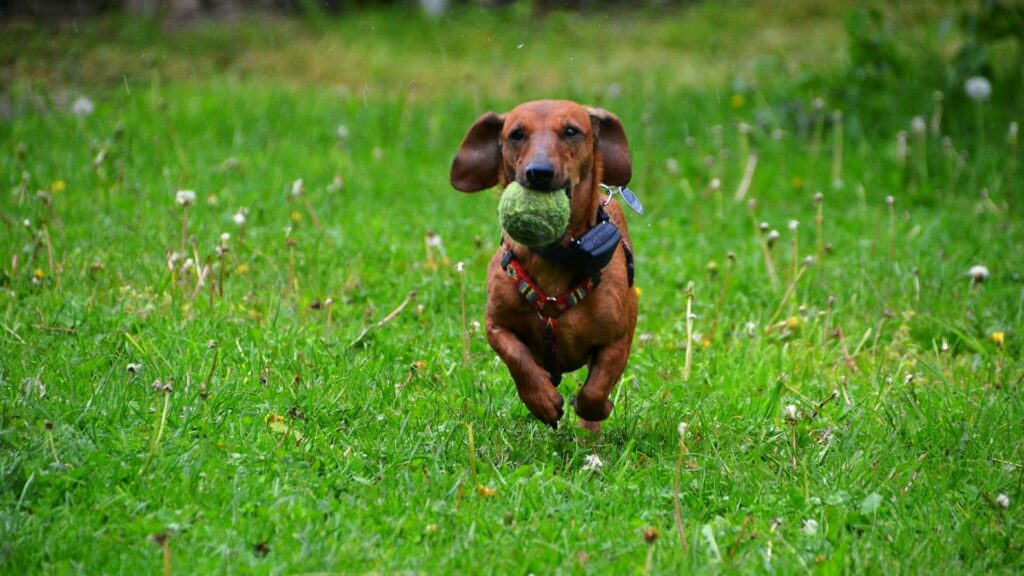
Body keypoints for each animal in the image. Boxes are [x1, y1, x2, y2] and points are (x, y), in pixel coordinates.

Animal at [450, 99, 634, 430]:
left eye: (571, 131)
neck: (554, 257)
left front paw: (596, 409)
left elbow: (595, 390)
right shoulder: (496, 325)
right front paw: (542, 400)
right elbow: (517, 358)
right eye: (516, 134)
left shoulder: (616, 341)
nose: (539, 172)